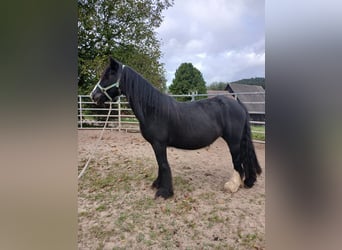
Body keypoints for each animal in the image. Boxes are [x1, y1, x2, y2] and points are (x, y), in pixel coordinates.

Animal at [91, 57, 262, 199]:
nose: (94, 96)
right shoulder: (156, 145)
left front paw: (164, 192)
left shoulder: (159, 144)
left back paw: (233, 186)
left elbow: (163, 165)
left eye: (108, 76)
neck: (153, 109)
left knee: (238, 161)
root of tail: (238, 105)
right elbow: (160, 165)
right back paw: (248, 181)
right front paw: (158, 185)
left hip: (233, 142)